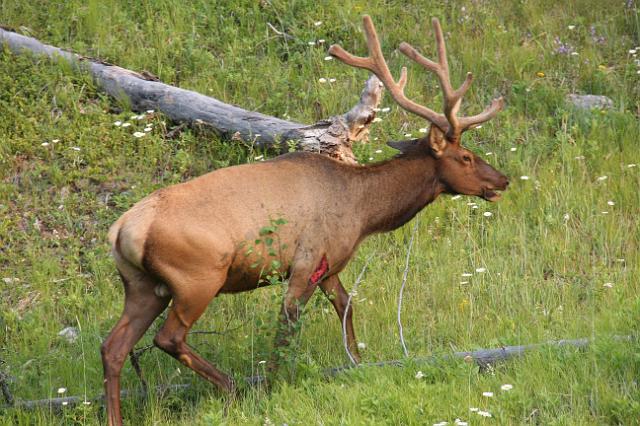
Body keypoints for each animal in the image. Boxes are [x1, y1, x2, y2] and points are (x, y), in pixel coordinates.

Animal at [100, 15, 510, 424]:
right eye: (466, 157)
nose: (502, 180)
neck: (363, 211)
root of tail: (121, 231)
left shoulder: (330, 265)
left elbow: (345, 305)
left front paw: (356, 361)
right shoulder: (306, 261)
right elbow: (288, 324)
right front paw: (272, 384)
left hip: (142, 286)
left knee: (113, 347)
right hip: (196, 278)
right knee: (167, 337)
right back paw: (232, 385)